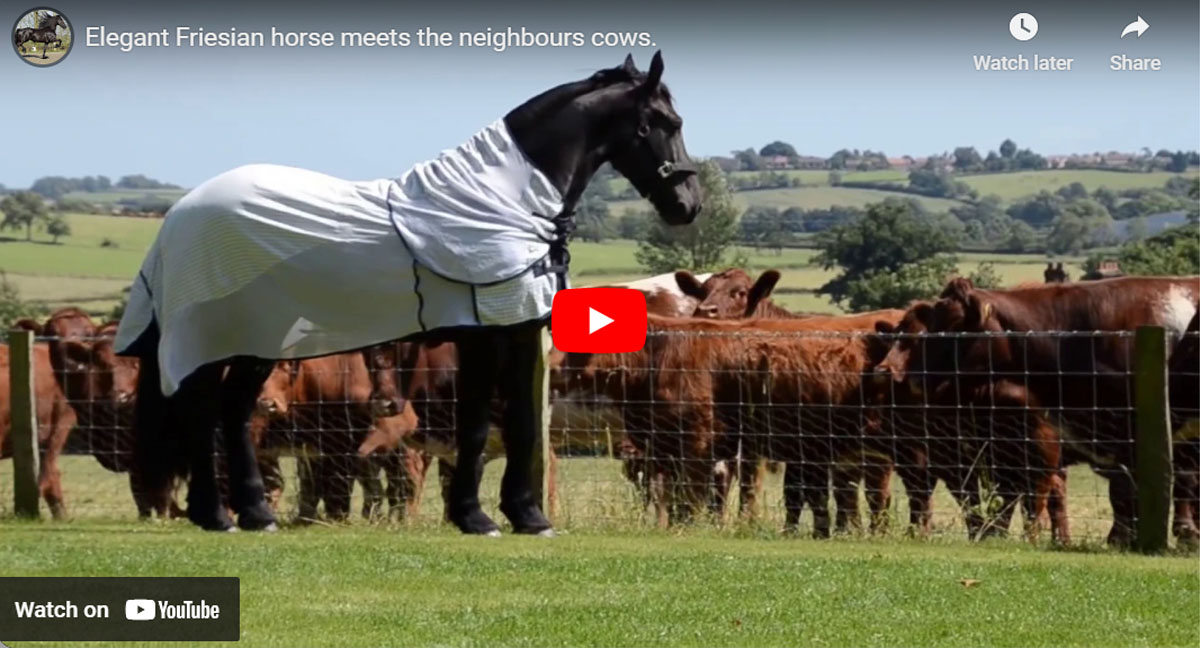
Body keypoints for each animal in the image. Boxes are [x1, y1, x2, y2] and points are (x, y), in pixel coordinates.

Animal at [129, 53, 700, 535]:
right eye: (667, 124)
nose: (687, 205)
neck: (502, 202)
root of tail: (180, 214)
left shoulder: (513, 332)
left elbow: (516, 422)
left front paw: (523, 515)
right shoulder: (485, 335)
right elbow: (478, 426)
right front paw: (480, 518)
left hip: (259, 341)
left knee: (230, 413)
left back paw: (252, 514)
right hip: (216, 337)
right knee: (202, 415)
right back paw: (217, 515)